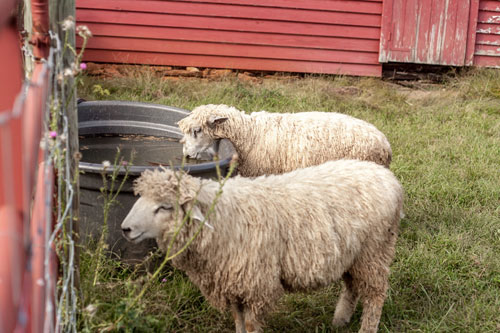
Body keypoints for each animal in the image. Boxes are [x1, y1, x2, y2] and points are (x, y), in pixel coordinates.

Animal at [122, 158, 406, 332]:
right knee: (352, 286)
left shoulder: (255, 283)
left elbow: (249, 324)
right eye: (140, 198)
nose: (125, 229)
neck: (222, 217)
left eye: (165, 207)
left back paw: (366, 327)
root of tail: (388, 177)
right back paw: (340, 320)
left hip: (375, 251)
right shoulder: (233, 281)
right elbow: (237, 320)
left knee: (375, 295)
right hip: (353, 254)